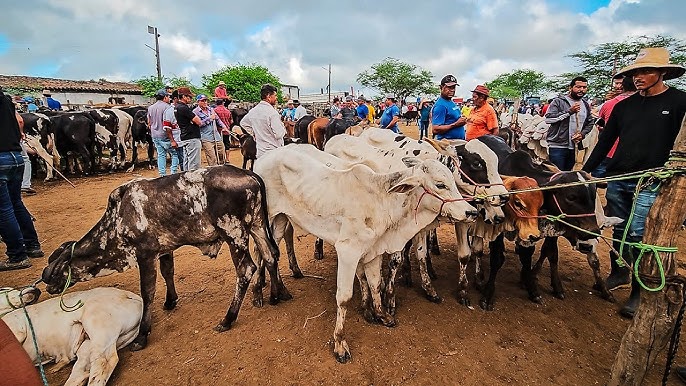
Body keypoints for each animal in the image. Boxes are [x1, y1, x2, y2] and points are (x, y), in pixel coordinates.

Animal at [1, 284, 143, 386]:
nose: (35, 289)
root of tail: (133, 296)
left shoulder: (16, 328)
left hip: (98, 324)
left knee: (104, 361)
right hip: (89, 343)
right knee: (83, 371)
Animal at [40, 164, 292, 352]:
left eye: (59, 269)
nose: (47, 285)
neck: (118, 218)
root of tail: (249, 174)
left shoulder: (145, 254)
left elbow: (148, 291)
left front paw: (142, 335)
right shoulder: (165, 250)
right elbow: (168, 272)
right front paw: (171, 301)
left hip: (234, 233)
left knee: (246, 269)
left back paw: (228, 319)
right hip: (257, 226)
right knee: (270, 255)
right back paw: (277, 295)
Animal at [254, 145, 478, 362]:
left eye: (454, 181)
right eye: (440, 184)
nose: (472, 212)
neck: (382, 201)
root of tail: (262, 159)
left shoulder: (374, 251)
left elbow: (375, 284)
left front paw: (381, 315)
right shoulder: (348, 251)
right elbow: (344, 297)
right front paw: (340, 344)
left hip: (281, 219)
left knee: (273, 252)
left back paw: (281, 291)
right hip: (264, 217)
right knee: (260, 251)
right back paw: (259, 293)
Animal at [478, 136, 620, 304]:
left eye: (593, 196)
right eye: (571, 196)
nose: (592, 233)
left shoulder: (541, 232)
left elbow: (546, 255)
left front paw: (541, 287)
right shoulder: (498, 230)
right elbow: (497, 259)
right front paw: (488, 294)